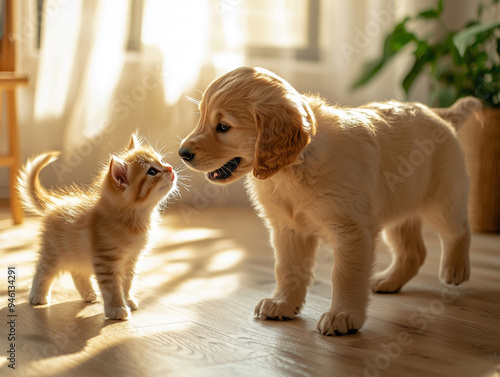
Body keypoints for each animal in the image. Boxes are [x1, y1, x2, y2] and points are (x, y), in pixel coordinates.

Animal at [17, 134, 178, 318]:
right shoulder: (105, 260)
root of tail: (56, 202)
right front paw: (117, 308)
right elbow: (112, 287)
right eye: (152, 172)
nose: (170, 168)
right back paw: (37, 296)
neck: (136, 219)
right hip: (53, 252)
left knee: (76, 271)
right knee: (42, 270)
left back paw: (88, 294)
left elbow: (127, 283)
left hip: (77, 252)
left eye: (162, 160)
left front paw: (128, 300)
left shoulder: (131, 260)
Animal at [179, 66, 480, 334]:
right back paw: (388, 280)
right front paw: (282, 303)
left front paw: (343, 316)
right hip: (400, 207)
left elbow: (345, 275)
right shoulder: (287, 229)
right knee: (413, 251)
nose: (182, 153)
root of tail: (437, 113)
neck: (293, 169)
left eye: (223, 126)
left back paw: (455, 270)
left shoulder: (352, 230)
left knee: (458, 230)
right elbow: (287, 268)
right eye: (201, 118)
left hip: (442, 198)